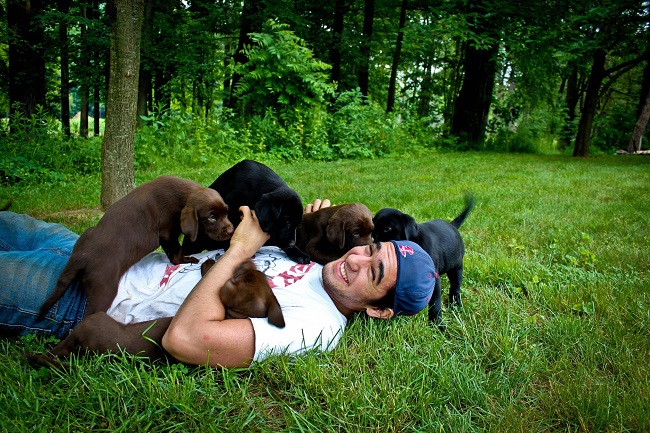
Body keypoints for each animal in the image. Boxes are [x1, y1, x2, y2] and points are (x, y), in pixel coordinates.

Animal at [372, 196, 474, 328]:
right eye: (373, 231)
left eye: (387, 229)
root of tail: (452, 225)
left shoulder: (433, 279)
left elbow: (435, 303)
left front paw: (437, 324)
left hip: (456, 268)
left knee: (455, 288)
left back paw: (456, 305)